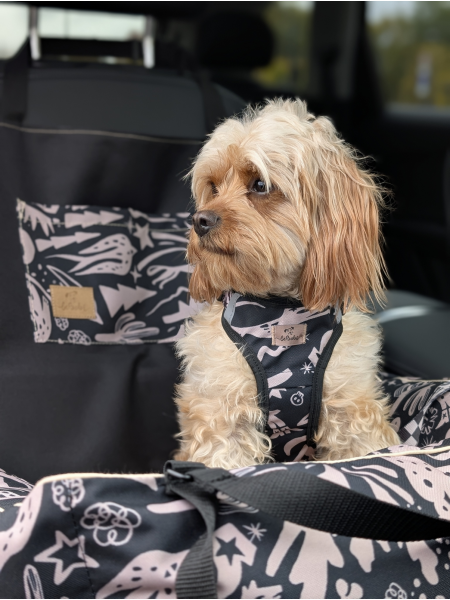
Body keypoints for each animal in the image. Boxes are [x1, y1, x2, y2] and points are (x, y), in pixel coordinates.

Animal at [174, 98, 400, 469]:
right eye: (213, 187)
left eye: (260, 185)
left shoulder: (351, 409)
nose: (199, 220)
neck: (281, 306)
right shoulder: (223, 415)